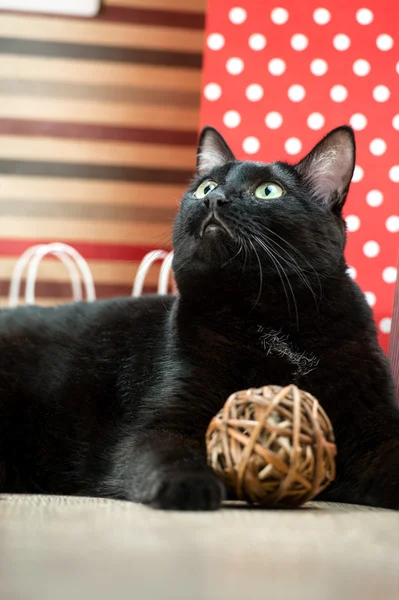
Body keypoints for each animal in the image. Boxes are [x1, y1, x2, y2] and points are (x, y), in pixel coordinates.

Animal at [0, 127, 398, 510]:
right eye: (205, 186)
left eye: (268, 191)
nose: (214, 199)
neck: (272, 322)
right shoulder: (164, 420)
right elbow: (172, 454)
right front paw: (189, 486)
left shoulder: (374, 431)